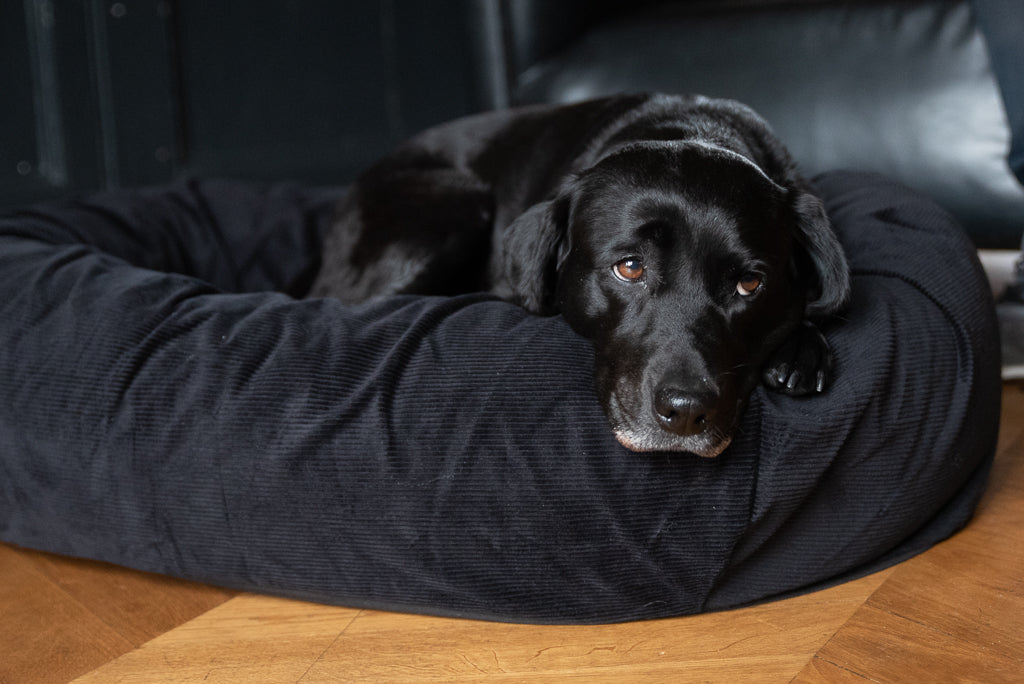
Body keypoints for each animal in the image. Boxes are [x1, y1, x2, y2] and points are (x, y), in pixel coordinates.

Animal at [309, 90, 847, 454]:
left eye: (749, 284)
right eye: (629, 267)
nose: (686, 412)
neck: (690, 128)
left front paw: (801, 349)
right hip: (451, 209)